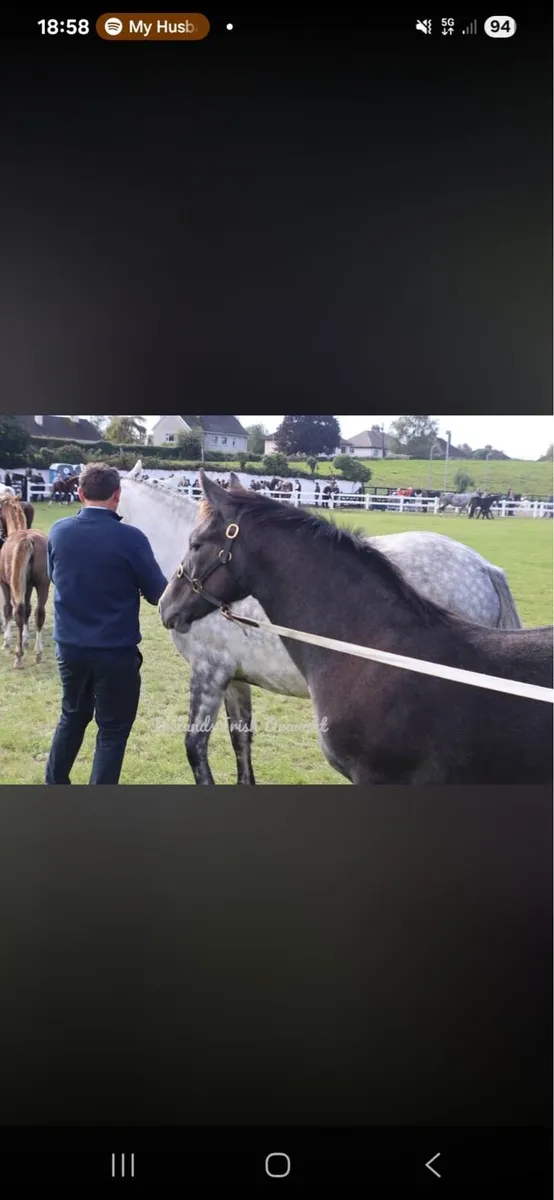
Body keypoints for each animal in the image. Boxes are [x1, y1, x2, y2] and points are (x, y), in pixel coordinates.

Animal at [0, 497, 49, 668]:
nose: (1, 533)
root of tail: (28, 539)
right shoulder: (27, 587)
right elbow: (28, 609)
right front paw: (26, 640)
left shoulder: (5, 584)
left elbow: (7, 609)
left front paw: (7, 642)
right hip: (43, 585)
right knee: (38, 613)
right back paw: (38, 653)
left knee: (17, 612)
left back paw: (18, 656)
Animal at [118, 462, 522, 785]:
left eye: (196, 543)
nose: (167, 607)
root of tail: (483, 568)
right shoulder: (235, 679)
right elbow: (241, 741)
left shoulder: (208, 672)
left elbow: (195, 747)